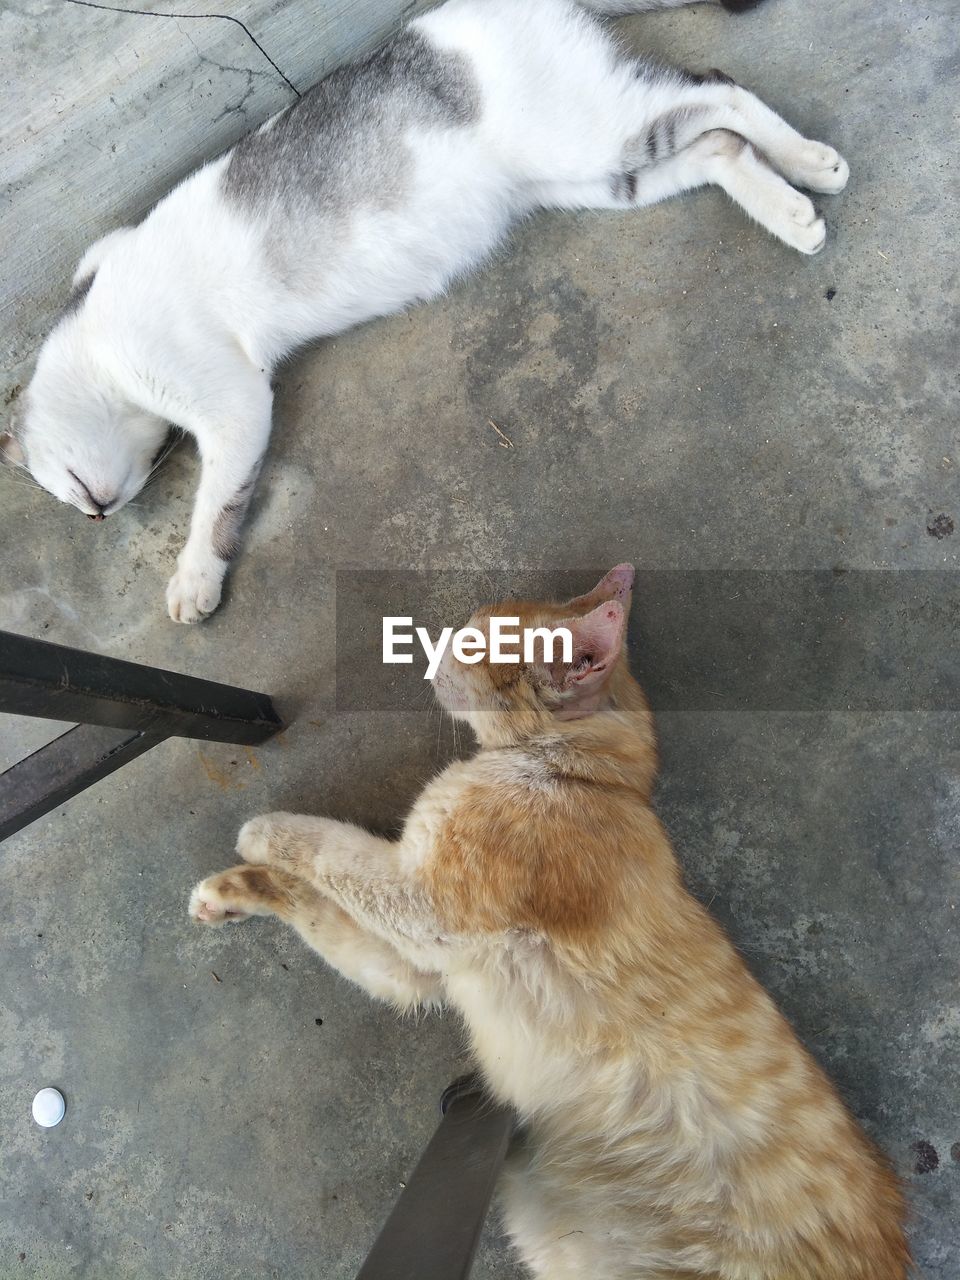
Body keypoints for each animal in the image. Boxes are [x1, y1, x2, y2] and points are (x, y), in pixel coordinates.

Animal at [5, 0, 849, 619]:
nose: (99, 516)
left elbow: (215, 505)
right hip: (595, 179)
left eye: (68, 490)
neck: (91, 337)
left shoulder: (232, 404)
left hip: (590, 136)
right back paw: (789, 206)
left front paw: (193, 579)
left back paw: (812, 161)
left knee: (720, 87)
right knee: (717, 147)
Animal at [188, 570, 911, 1280]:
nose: (433, 649)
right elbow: (320, 905)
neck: (582, 772)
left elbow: (326, 844)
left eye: (474, 639)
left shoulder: (423, 903)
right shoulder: (418, 967)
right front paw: (228, 894)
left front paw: (261, 832)